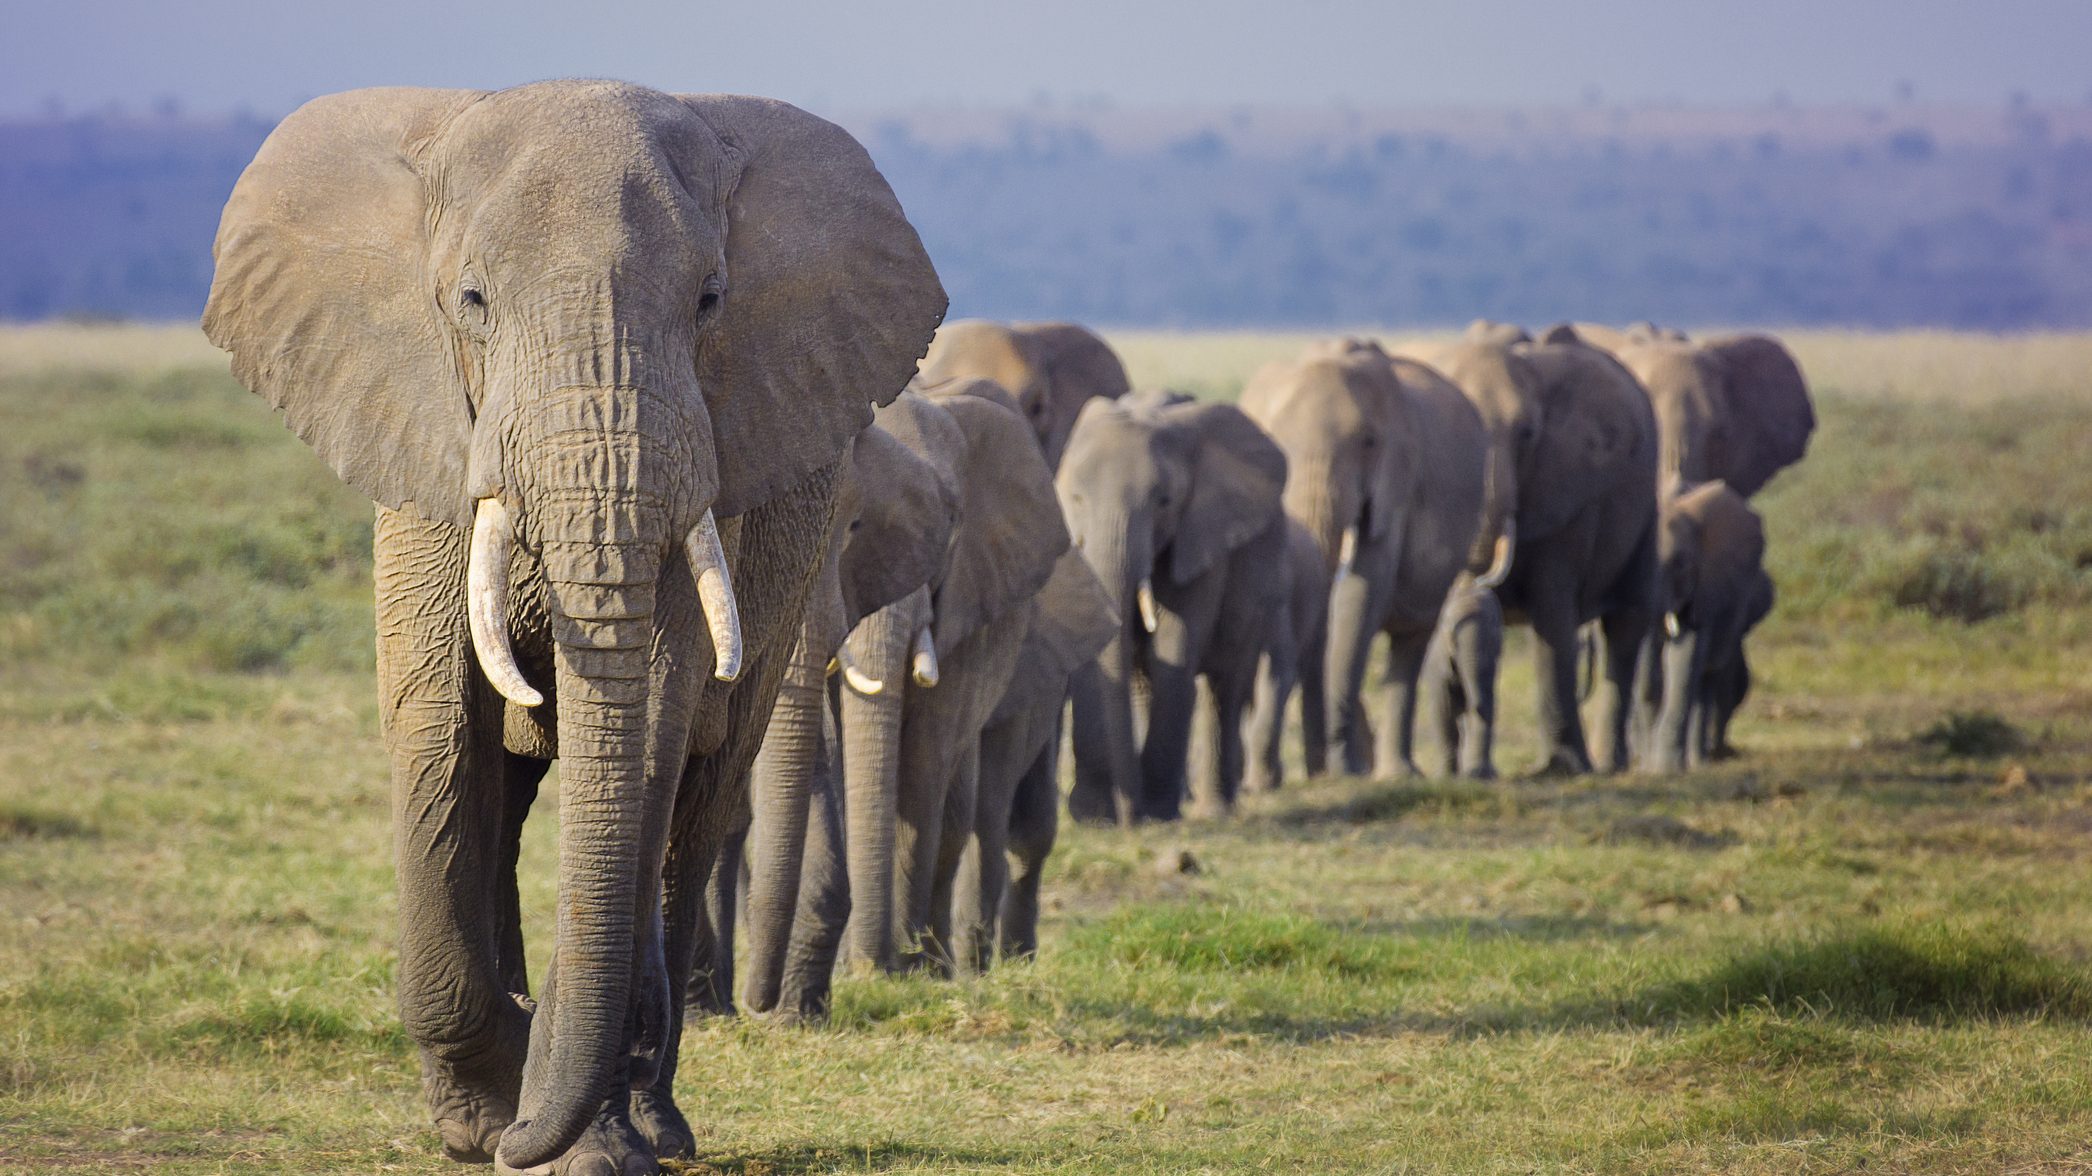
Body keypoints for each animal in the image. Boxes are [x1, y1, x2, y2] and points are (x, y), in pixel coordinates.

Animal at [199, 77, 945, 1163]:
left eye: (709, 301)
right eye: (471, 301)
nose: (521, 1137)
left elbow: (654, 724)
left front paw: (572, 1140)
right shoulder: (425, 440)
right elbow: (436, 721)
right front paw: (483, 1122)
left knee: (699, 803)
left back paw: (654, 1125)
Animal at [1062, 389, 1288, 820]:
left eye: (1164, 501)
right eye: (1075, 499)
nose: (1125, 817)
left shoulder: (1202, 535)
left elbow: (1173, 646)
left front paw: (1157, 811)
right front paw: (1100, 814)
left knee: (1226, 683)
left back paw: (1214, 808)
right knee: (1144, 683)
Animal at [1230, 338, 1497, 778]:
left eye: (1369, 442)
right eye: (1273, 442)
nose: (1324, 767)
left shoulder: (1399, 478)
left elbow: (1365, 584)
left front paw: (1342, 768)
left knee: (1411, 642)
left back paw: (1397, 773)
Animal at [1405, 334, 1665, 774]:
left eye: (1527, 433)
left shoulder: (1569, 489)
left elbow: (1553, 610)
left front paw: (1561, 770)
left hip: (1646, 509)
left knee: (1627, 624)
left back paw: (1608, 765)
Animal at [1640, 477, 1774, 770]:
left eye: (1679, 563)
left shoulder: (1708, 586)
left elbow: (1685, 654)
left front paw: (1665, 770)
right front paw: (1647, 767)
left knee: (1707, 678)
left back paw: (1700, 761)